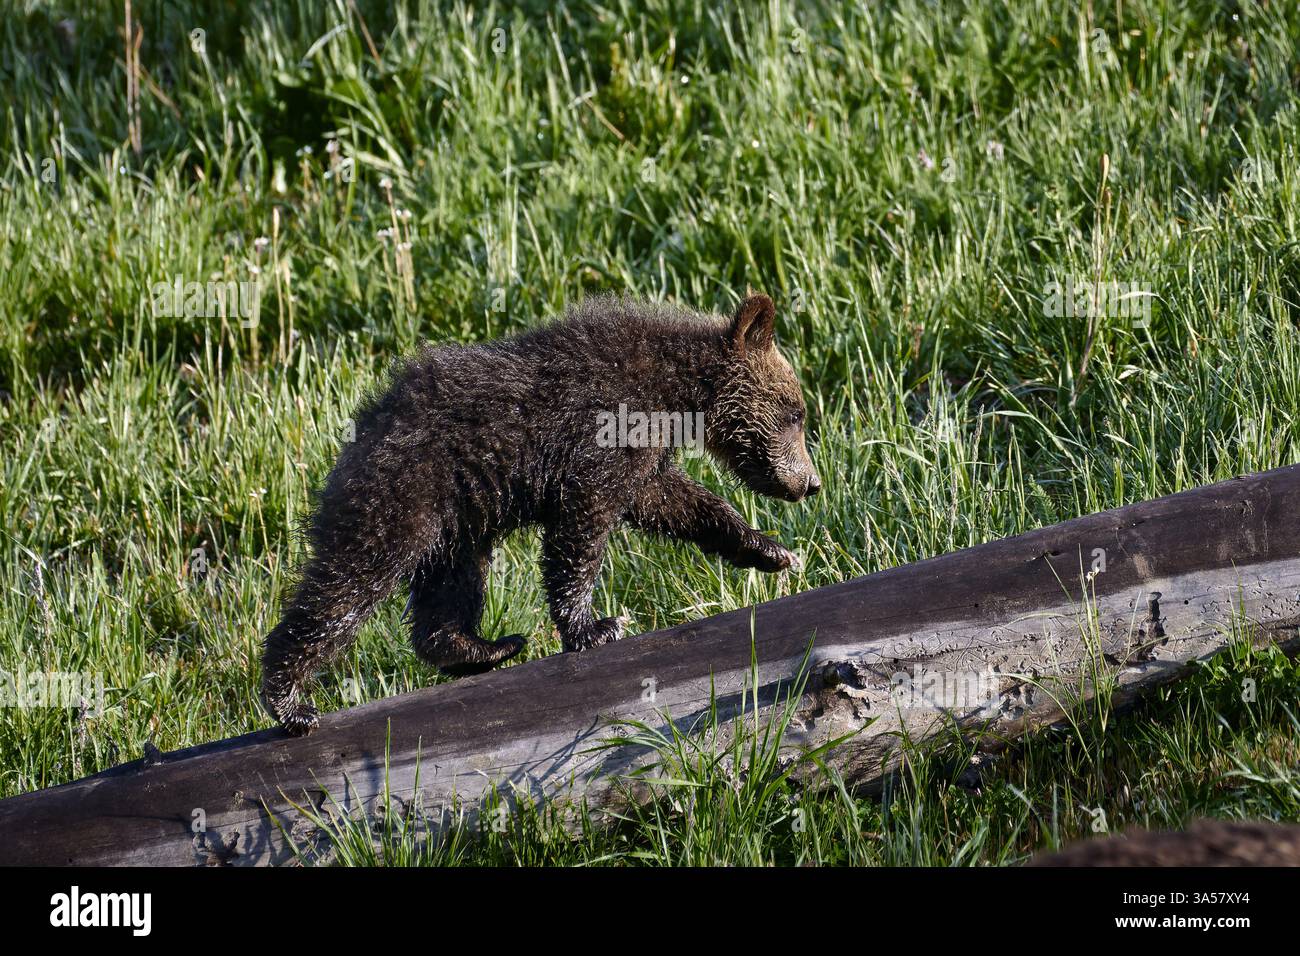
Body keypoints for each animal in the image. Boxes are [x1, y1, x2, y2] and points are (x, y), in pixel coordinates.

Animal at [261, 292, 820, 736]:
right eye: (795, 413)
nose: (810, 483)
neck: (675, 394)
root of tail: (363, 424)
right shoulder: (601, 436)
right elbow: (582, 528)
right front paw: (595, 625)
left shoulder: (642, 458)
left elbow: (677, 503)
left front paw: (770, 550)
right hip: (403, 496)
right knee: (349, 581)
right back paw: (290, 702)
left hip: (458, 518)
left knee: (451, 585)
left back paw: (484, 646)